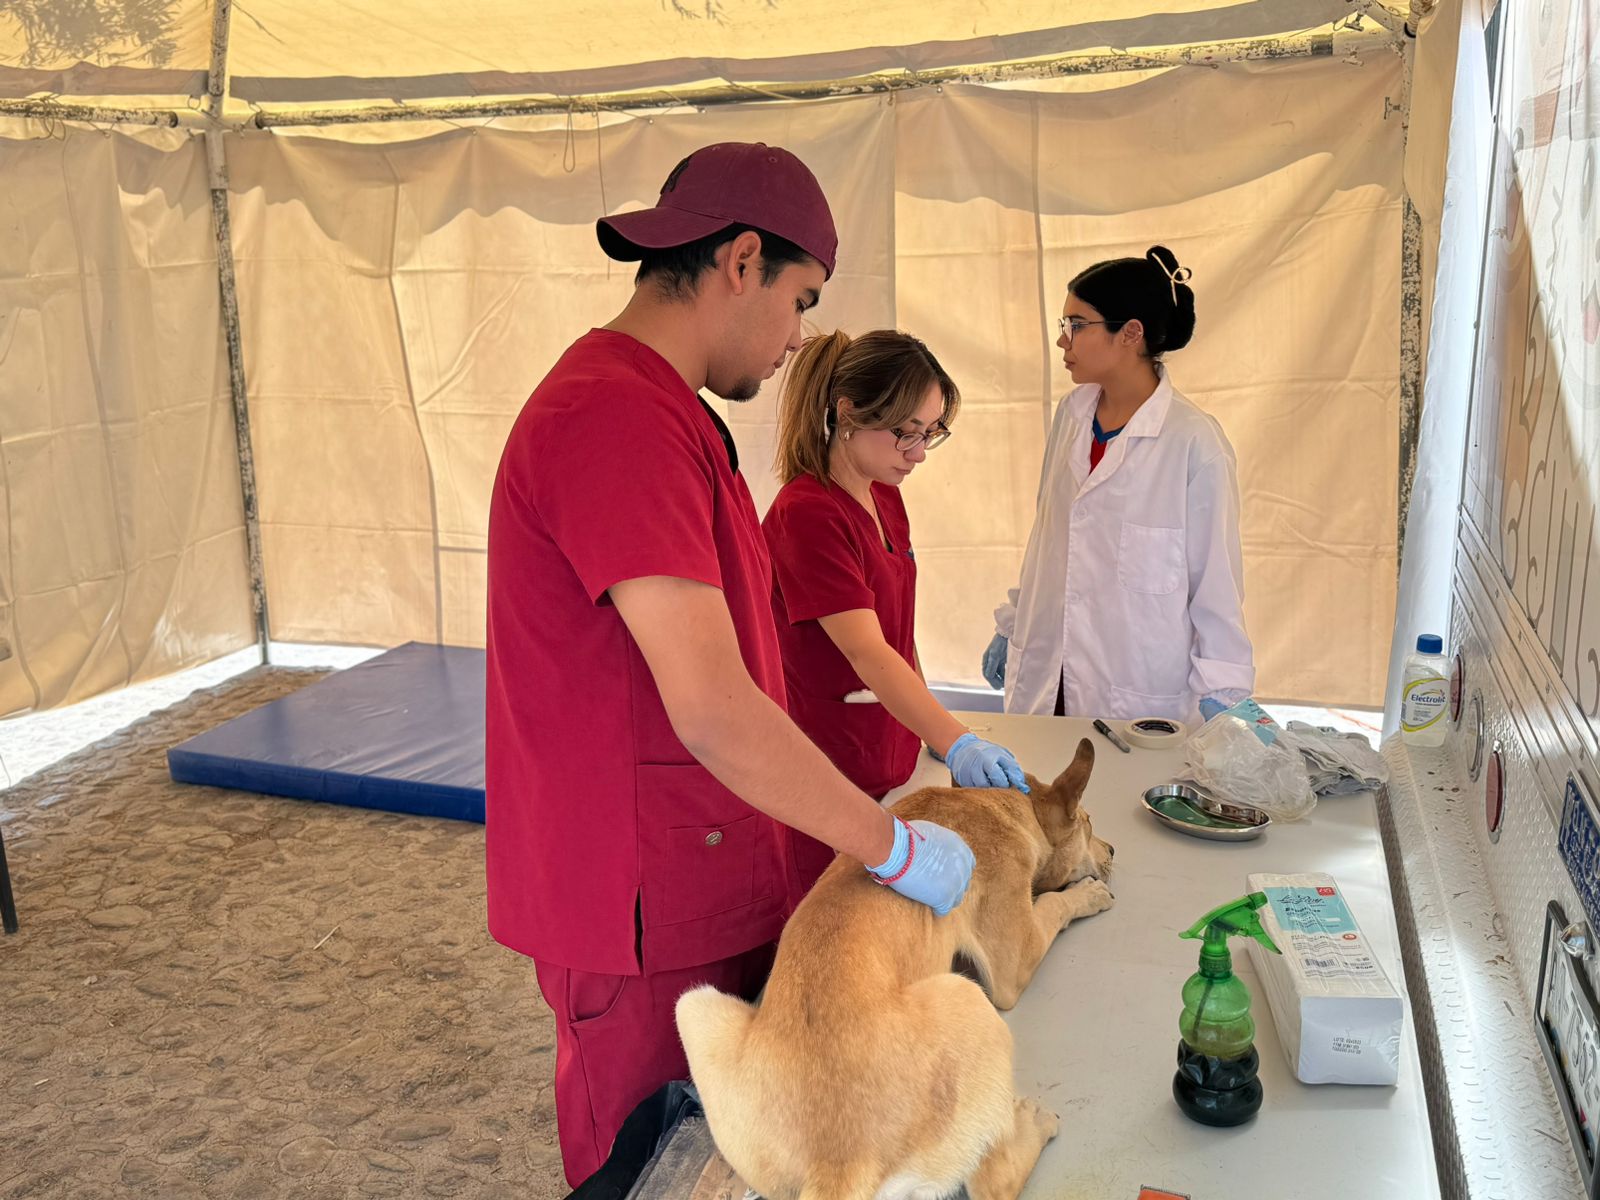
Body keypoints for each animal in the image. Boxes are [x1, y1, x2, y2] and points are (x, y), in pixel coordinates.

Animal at [675, 742, 1113, 1200]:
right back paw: (1033, 1124)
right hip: (969, 1000)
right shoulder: (1017, 960)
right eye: (1088, 823)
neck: (1007, 805)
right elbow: (1054, 904)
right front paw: (1087, 895)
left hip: (693, 1004)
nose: (1114, 851)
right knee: (993, 1183)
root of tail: (838, 1165)